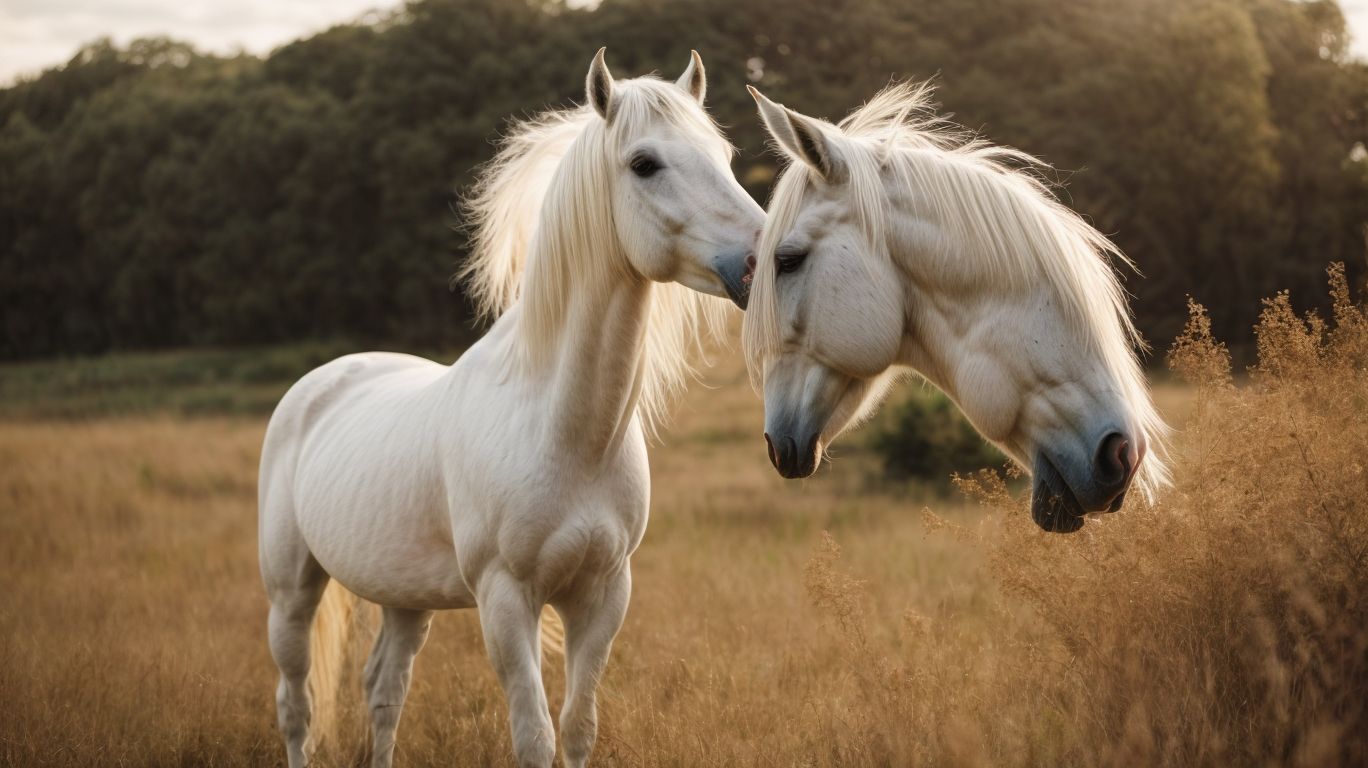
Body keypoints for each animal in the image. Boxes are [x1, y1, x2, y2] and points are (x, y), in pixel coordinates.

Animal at [258, 49, 763, 768]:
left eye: (723, 154)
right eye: (644, 163)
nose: (760, 263)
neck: (561, 429)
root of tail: (322, 382)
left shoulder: (603, 595)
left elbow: (577, 729)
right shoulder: (504, 600)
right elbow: (534, 736)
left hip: (405, 599)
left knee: (384, 690)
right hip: (292, 593)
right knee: (296, 706)